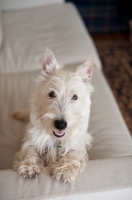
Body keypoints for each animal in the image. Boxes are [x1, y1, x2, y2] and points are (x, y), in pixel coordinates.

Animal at [13, 50, 94, 183]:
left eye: (74, 97)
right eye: (52, 94)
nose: (60, 124)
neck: (57, 139)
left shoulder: (78, 145)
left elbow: (72, 155)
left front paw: (63, 170)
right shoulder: (33, 139)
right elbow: (30, 151)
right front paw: (30, 166)